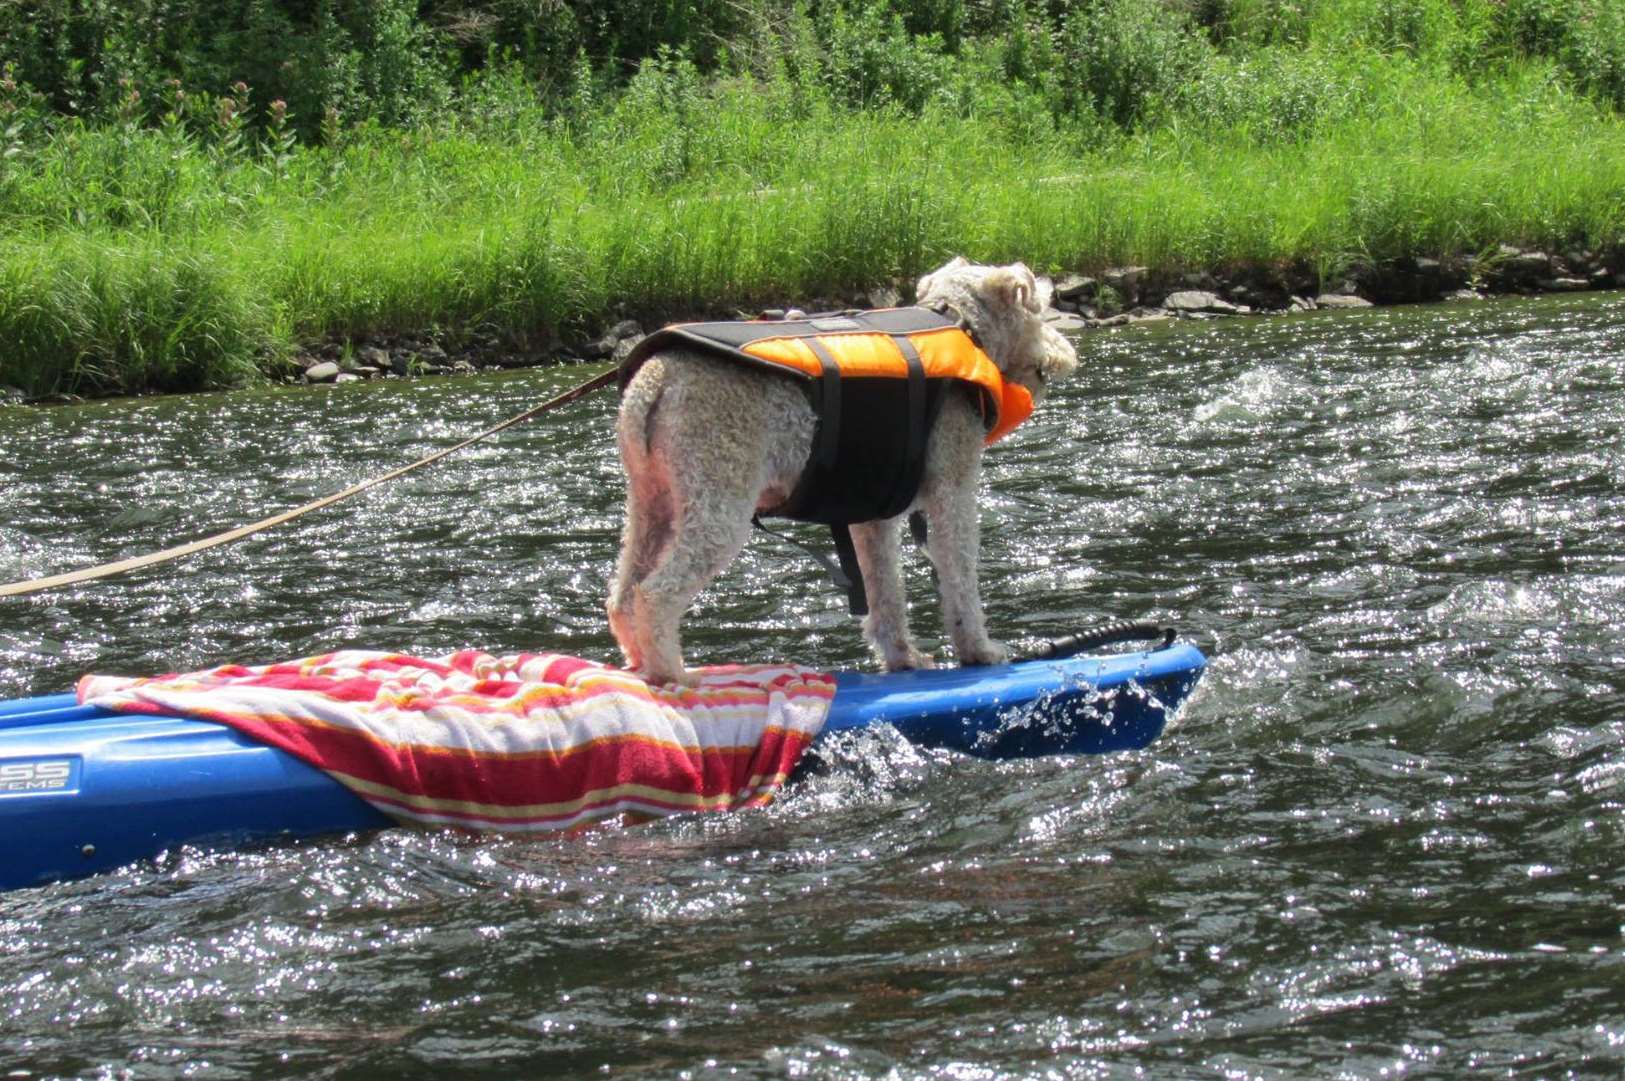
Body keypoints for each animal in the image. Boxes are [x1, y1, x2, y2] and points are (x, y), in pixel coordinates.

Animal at [604, 256, 1072, 682]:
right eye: (1039, 305)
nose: (1064, 352)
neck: (957, 323)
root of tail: (654, 381)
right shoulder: (953, 488)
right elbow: (958, 573)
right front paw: (980, 649)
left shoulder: (873, 513)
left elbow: (885, 590)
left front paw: (903, 657)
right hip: (718, 497)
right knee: (656, 594)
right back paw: (673, 675)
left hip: (652, 500)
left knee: (623, 596)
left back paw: (639, 664)